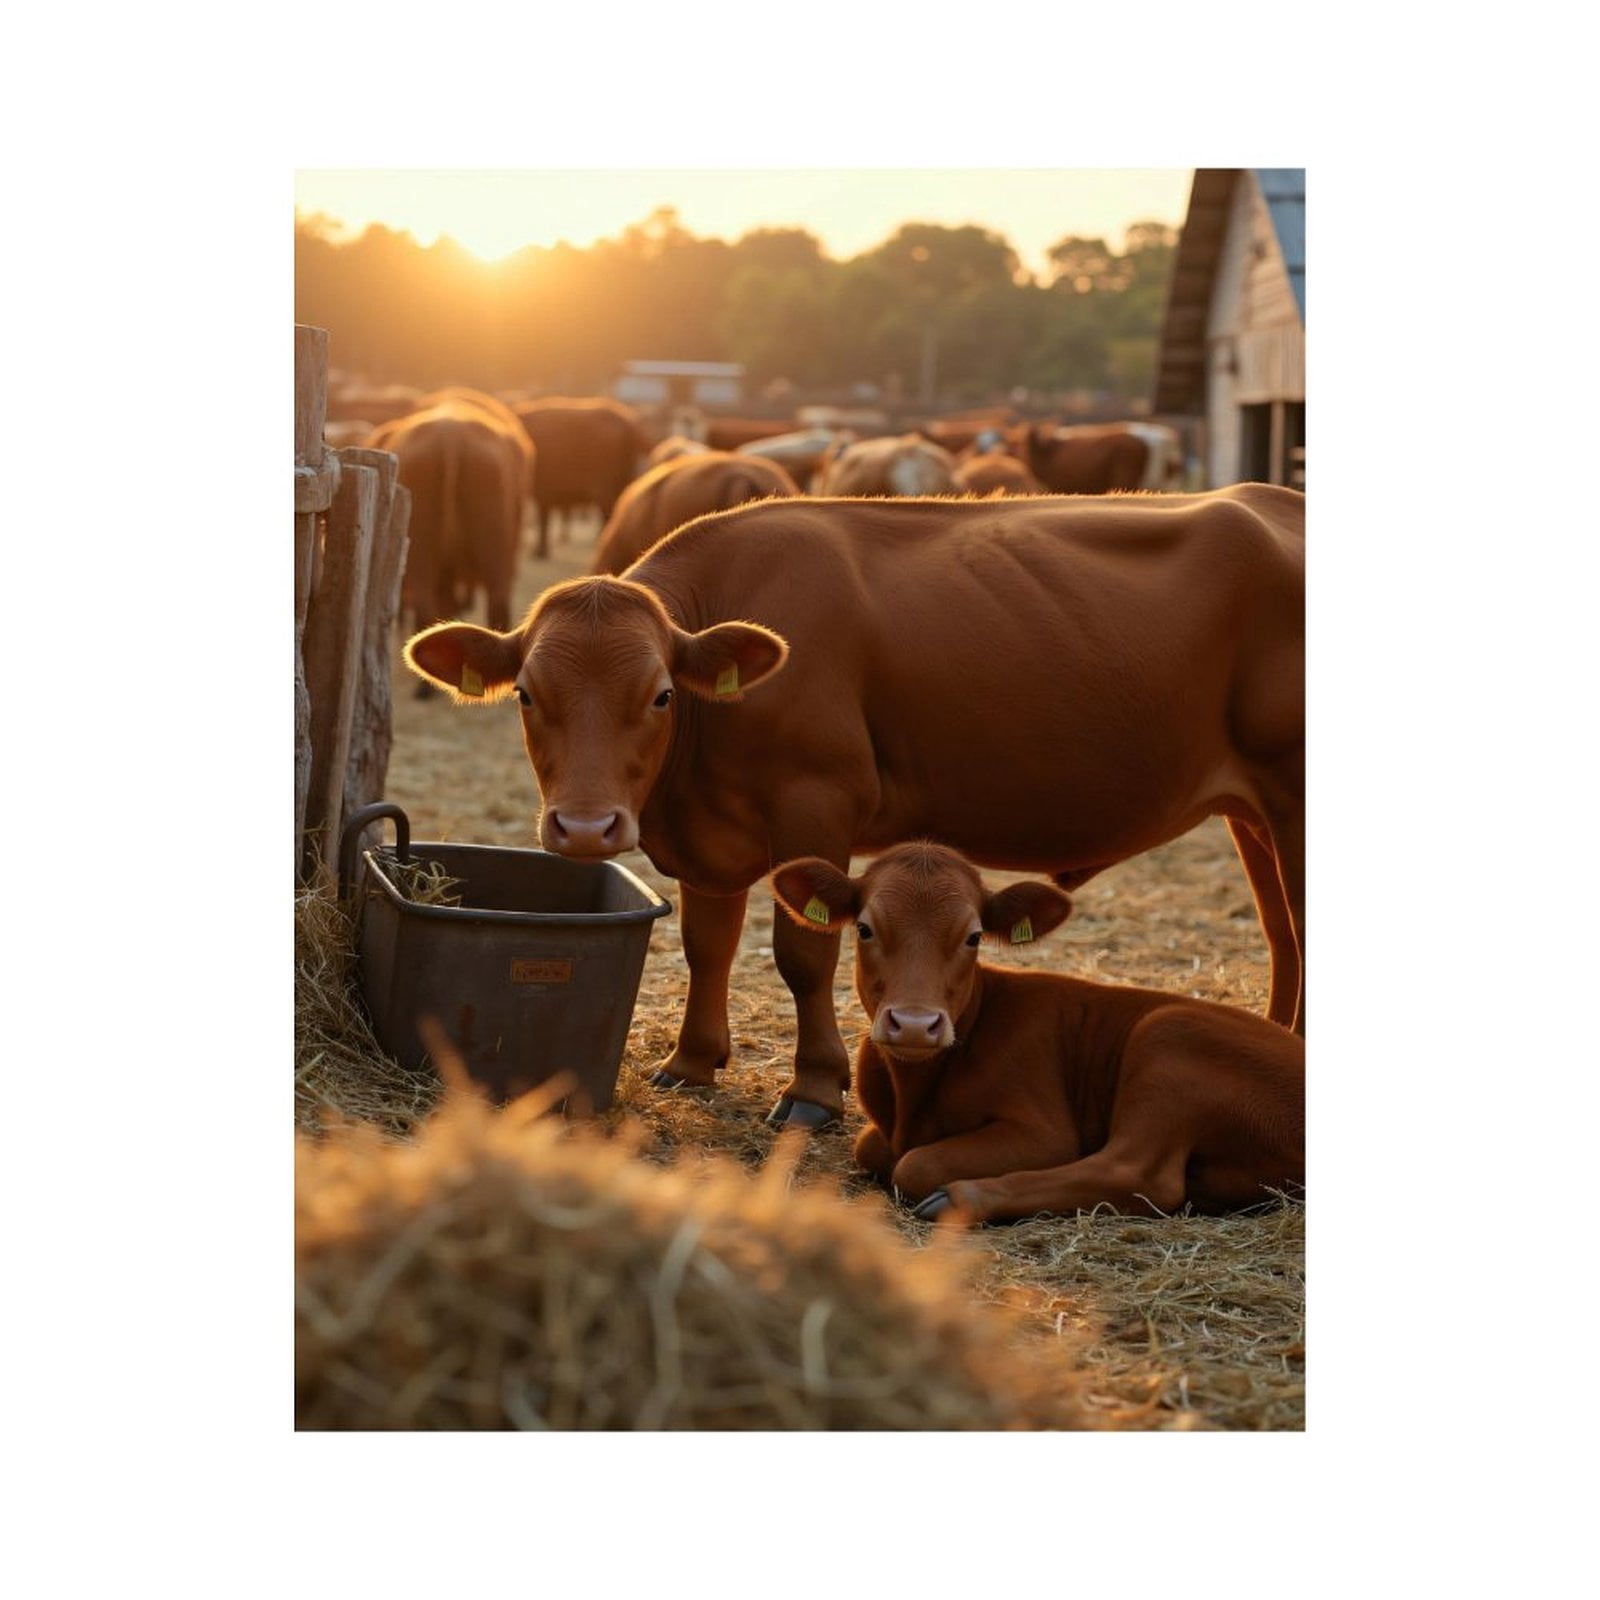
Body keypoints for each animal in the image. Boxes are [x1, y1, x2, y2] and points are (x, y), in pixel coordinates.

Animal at [403, 484, 1305, 1130]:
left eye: (660, 694)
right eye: (526, 694)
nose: (587, 827)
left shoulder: (816, 805)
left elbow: (804, 957)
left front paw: (813, 1089)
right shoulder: (711, 840)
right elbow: (707, 948)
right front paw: (692, 1063)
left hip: (1292, 797)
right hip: (1255, 813)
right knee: (1282, 935)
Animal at [513, 397, 646, 559]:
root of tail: (630, 425)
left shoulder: (543, 490)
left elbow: (544, 518)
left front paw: (540, 552)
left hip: (605, 488)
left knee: (608, 515)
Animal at [770, 841, 1304, 1221]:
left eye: (974, 936)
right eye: (864, 929)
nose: (916, 1026)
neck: (913, 1098)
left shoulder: (1044, 1131)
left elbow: (916, 1162)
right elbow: (871, 1147)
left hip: (1170, 1039)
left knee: (1138, 1173)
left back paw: (960, 1198)